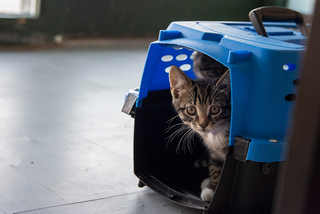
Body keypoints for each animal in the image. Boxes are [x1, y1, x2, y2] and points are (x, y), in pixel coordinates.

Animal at [169, 65, 231, 202]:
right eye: (191, 109)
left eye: (215, 109)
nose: (203, 124)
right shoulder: (214, 151)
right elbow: (216, 164)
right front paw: (212, 185)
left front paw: (213, 188)